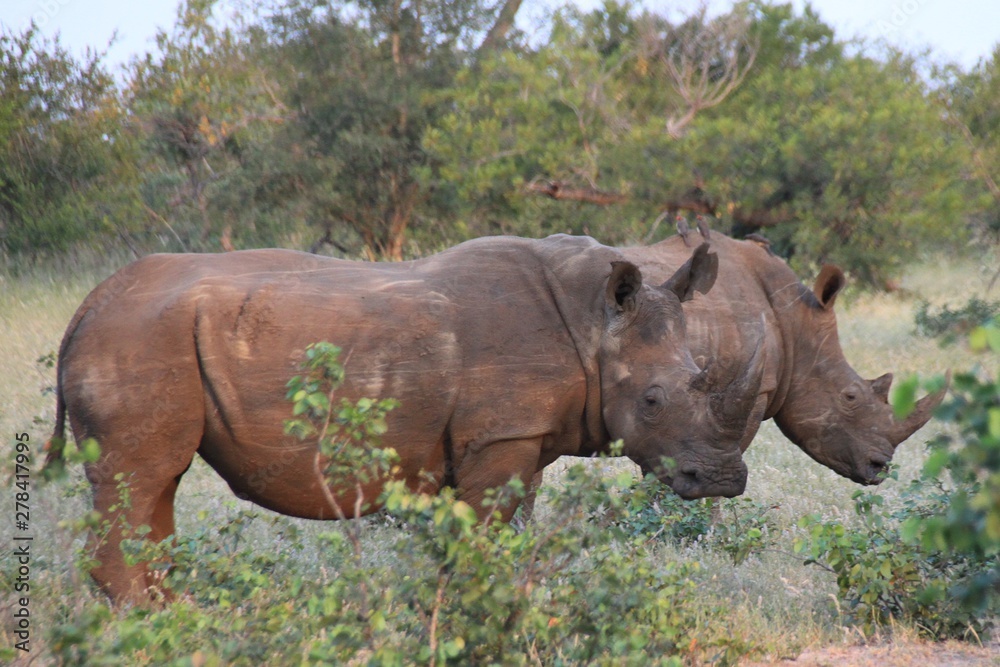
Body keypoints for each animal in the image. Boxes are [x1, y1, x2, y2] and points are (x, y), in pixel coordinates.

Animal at [45, 234, 763, 603]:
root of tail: (85, 308)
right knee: (140, 476)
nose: (724, 479)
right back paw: (148, 624)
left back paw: (182, 617)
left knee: (154, 485)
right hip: (138, 339)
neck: (593, 323)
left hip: (143, 333)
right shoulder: (502, 437)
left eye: (702, 376)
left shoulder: (515, 438)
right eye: (653, 400)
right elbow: (485, 540)